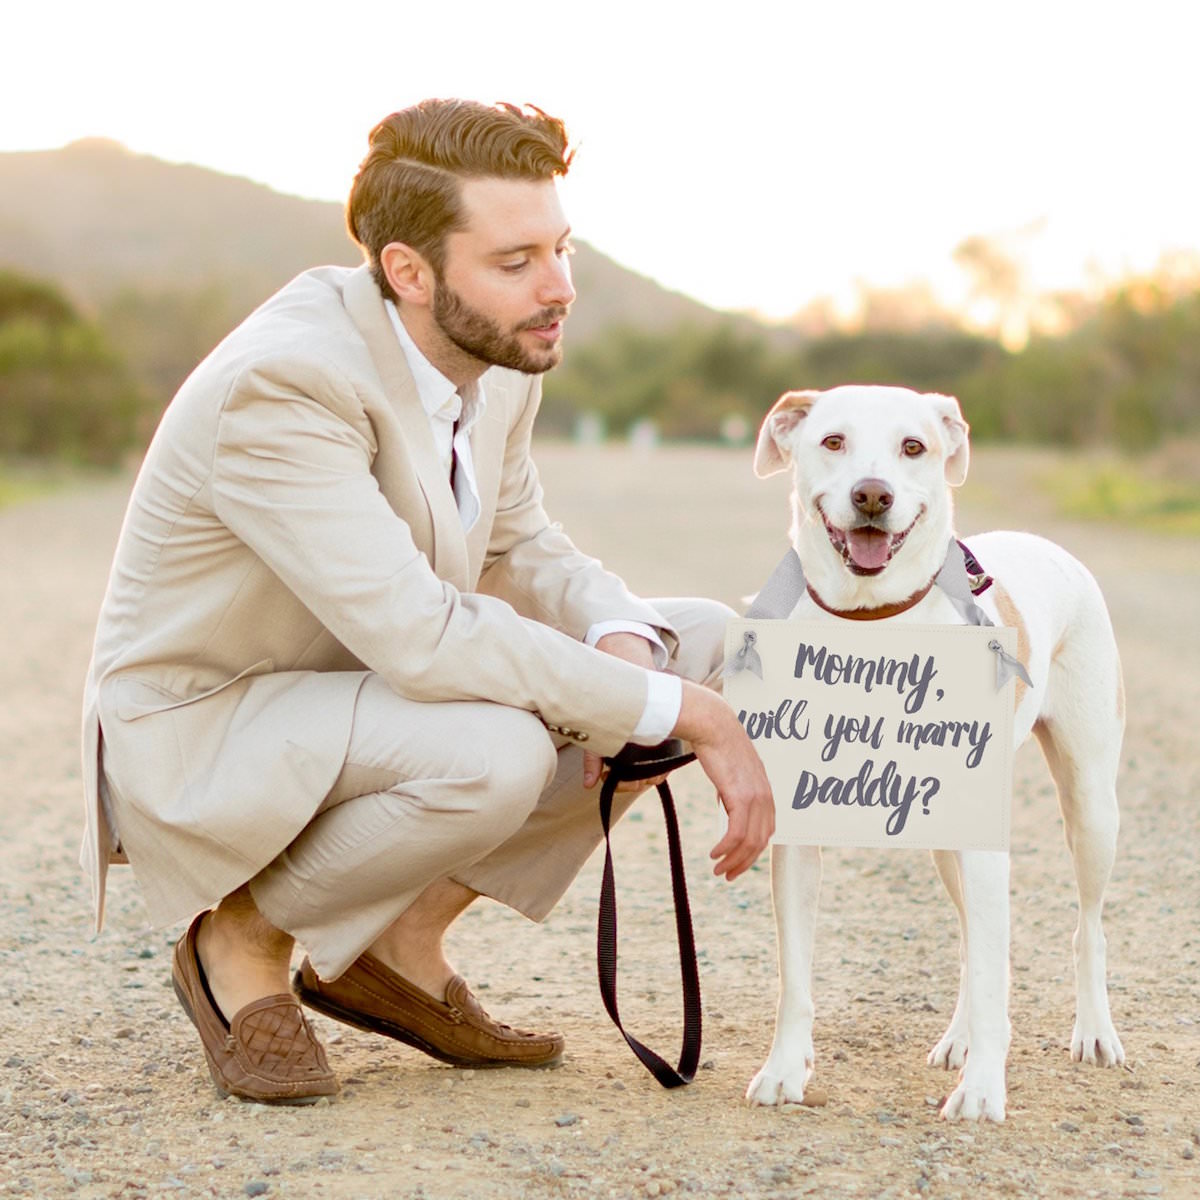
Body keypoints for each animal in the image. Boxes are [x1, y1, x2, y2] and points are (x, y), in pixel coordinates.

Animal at [744, 386, 1128, 1123]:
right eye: (833, 441)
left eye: (913, 447)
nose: (872, 495)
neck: (873, 627)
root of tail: (1044, 544)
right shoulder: (798, 833)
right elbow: (793, 977)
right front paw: (783, 1070)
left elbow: (996, 970)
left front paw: (981, 1091)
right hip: (948, 839)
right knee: (973, 944)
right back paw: (960, 1038)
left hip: (1092, 806)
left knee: (1087, 929)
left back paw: (1094, 1031)